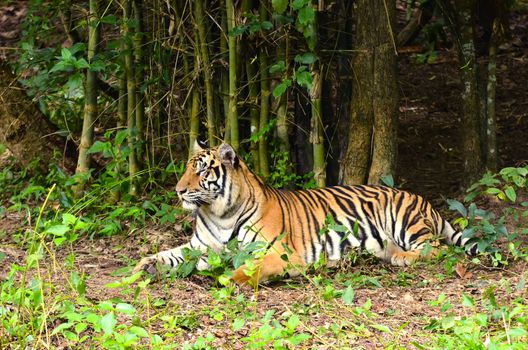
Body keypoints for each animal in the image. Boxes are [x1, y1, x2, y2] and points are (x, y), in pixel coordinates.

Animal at [133, 141, 478, 284]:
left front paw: (231, 277)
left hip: (404, 219)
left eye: (202, 170)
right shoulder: (199, 246)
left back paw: (402, 258)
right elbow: (169, 254)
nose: (178, 190)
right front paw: (143, 265)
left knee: (437, 248)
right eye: (186, 168)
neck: (220, 213)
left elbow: (252, 268)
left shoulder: (279, 253)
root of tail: (423, 199)